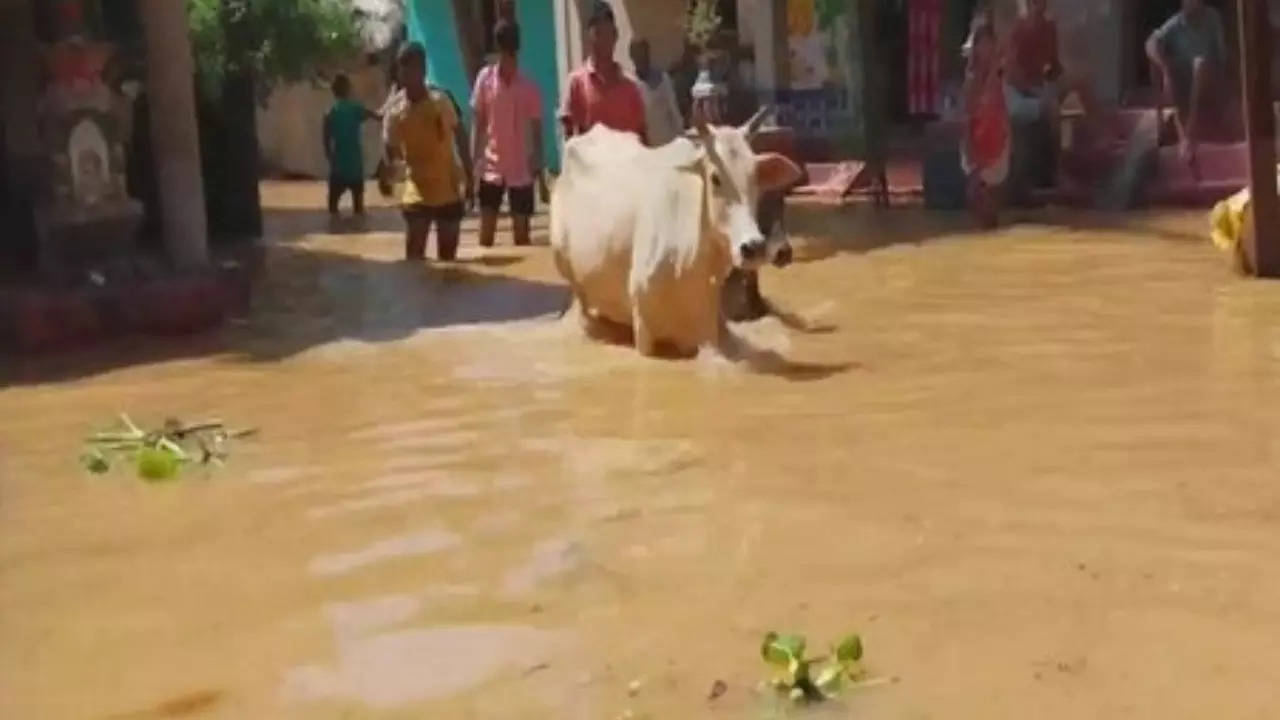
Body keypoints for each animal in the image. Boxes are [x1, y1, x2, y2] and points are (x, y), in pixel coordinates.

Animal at [550, 109, 798, 356]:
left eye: (755, 176)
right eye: (715, 177)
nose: (753, 247)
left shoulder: (713, 332)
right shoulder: (644, 331)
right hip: (568, 271)